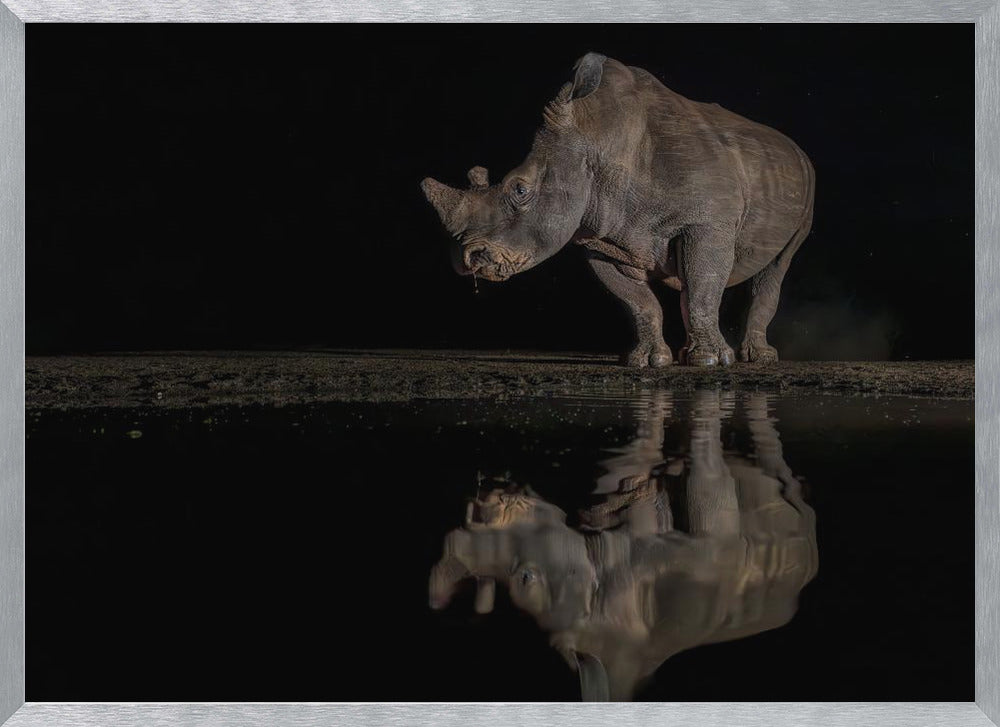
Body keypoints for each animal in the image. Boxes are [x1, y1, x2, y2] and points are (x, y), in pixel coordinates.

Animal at [421, 53, 815, 367]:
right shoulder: (602, 238)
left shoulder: (706, 223)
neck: (595, 140)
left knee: (776, 267)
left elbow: (702, 288)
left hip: (807, 185)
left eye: (520, 189)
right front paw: (647, 361)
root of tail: (793, 147)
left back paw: (757, 358)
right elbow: (637, 301)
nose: (467, 259)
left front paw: (709, 362)